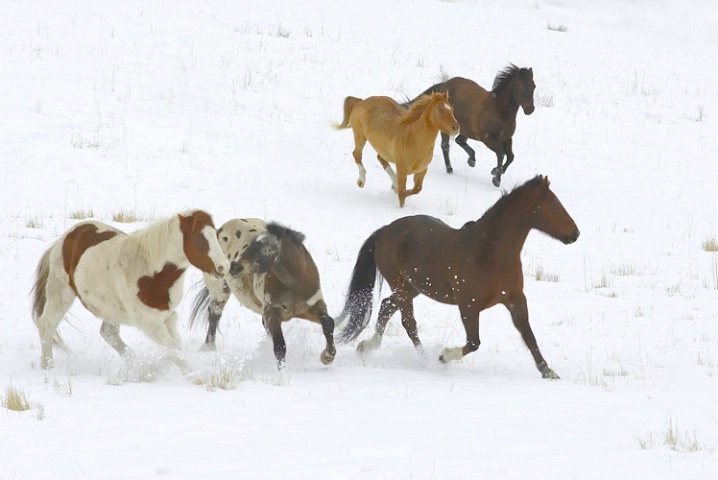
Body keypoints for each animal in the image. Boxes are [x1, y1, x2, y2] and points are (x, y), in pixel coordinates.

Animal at [30, 208, 228, 370]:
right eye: (198, 237)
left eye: (216, 235)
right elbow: (173, 350)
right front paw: (196, 378)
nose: (223, 267)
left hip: (110, 309)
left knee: (108, 333)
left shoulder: (168, 316)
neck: (152, 274)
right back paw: (48, 367)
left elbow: (174, 348)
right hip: (60, 293)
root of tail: (63, 239)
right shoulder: (150, 322)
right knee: (46, 325)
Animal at [191, 218, 338, 368]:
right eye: (250, 245)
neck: (294, 284)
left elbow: (329, 323)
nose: (234, 267)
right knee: (214, 314)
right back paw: (209, 347)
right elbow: (280, 347)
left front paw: (327, 357)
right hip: (219, 288)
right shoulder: (271, 314)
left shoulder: (313, 306)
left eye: (268, 249)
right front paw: (281, 372)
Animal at [336, 176, 580, 378]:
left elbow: (529, 336)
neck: (490, 252)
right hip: (402, 286)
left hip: (412, 288)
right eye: (553, 205)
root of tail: (386, 230)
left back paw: (367, 346)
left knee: (387, 307)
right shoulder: (468, 306)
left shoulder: (515, 300)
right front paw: (443, 356)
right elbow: (474, 342)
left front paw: (548, 372)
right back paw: (424, 359)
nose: (575, 234)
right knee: (408, 323)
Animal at [408, 65, 536, 188]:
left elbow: (510, 157)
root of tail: (444, 85)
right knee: (445, 145)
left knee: (459, 140)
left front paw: (497, 172)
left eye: (533, 86)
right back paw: (450, 169)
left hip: (465, 129)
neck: (499, 113)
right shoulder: (488, 140)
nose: (530, 109)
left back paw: (471, 160)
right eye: (521, 86)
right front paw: (496, 177)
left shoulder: (507, 139)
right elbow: (501, 154)